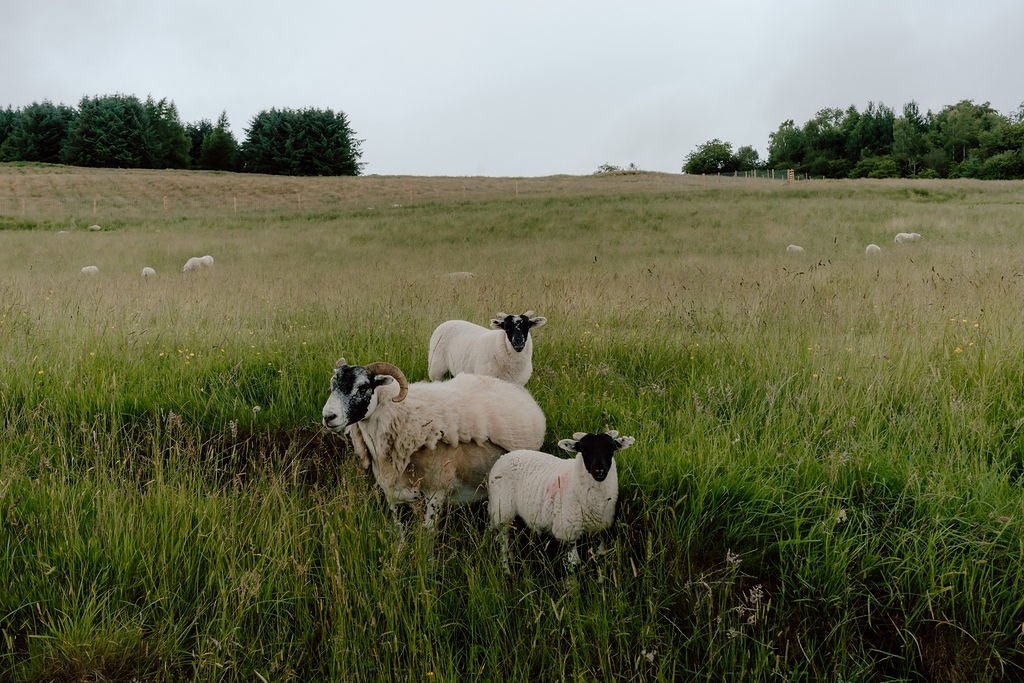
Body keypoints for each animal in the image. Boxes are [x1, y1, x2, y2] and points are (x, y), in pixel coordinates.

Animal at [321, 358, 546, 531]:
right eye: (333, 385)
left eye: (363, 387)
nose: (328, 416)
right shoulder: (393, 492)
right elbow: (399, 530)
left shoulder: (436, 492)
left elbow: (428, 533)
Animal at [488, 430, 635, 571]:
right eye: (584, 450)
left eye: (612, 448)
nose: (599, 471)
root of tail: (506, 456)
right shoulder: (567, 532)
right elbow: (574, 564)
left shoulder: (601, 531)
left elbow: (600, 558)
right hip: (502, 513)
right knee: (503, 542)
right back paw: (507, 569)